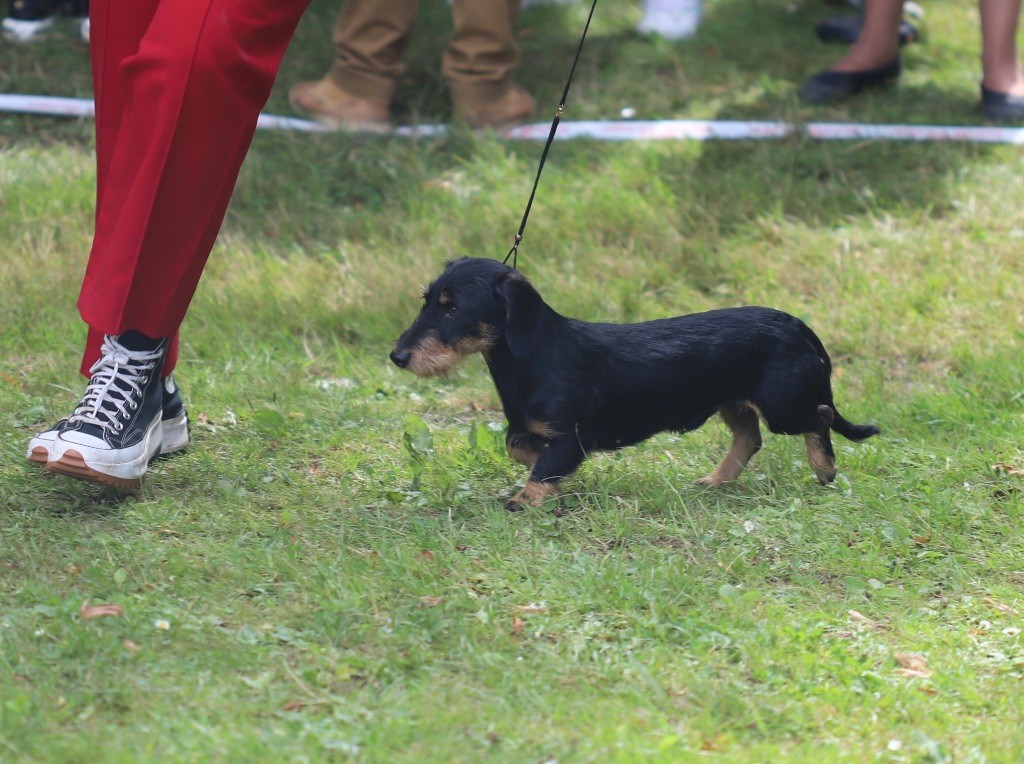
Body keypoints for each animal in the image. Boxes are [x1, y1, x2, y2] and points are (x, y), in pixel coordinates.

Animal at [387, 257, 876, 512]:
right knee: (749, 438)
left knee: (820, 416)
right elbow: (521, 448)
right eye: (426, 301)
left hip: (782, 407)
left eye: (453, 308)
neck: (536, 357)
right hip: (734, 403)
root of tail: (803, 329)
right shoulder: (534, 433)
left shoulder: (572, 437)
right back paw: (717, 480)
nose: (398, 357)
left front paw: (524, 499)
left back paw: (824, 469)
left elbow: (544, 467)